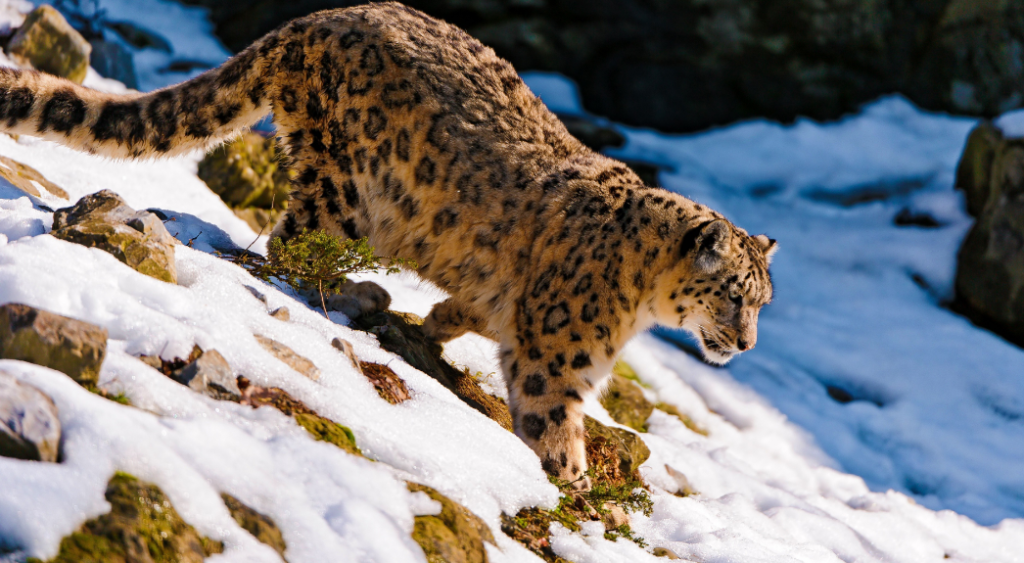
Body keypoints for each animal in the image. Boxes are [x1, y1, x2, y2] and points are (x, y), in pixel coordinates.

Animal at [0, 2, 776, 488]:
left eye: (762, 302)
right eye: (732, 295)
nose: (745, 344)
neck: (640, 300)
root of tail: (315, 19)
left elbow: (470, 310)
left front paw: (437, 324)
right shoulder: (559, 358)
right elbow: (552, 418)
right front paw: (573, 482)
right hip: (343, 186)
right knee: (290, 245)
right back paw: (358, 290)